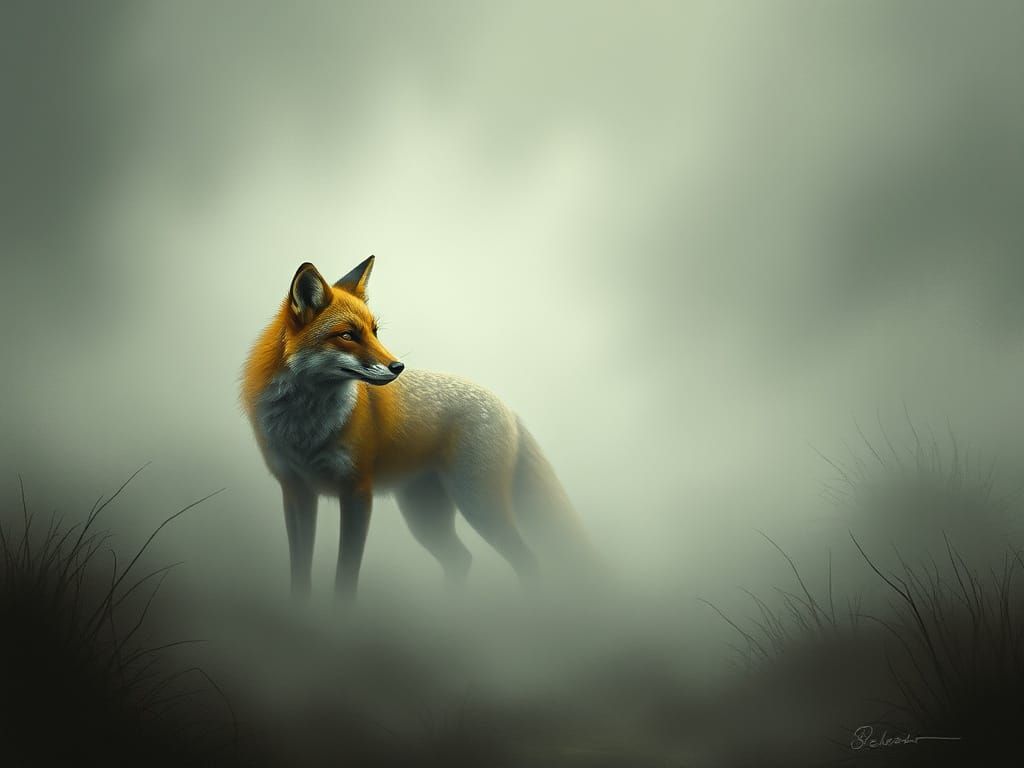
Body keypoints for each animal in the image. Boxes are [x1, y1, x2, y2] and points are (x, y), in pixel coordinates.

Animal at [241, 257, 591, 600]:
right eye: (347, 335)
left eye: (375, 332)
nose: (397, 367)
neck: (305, 429)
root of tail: (507, 406)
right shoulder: (295, 490)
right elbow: (300, 574)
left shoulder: (356, 491)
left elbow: (346, 577)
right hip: (425, 517)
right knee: (461, 559)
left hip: (478, 506)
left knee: (527, 560)